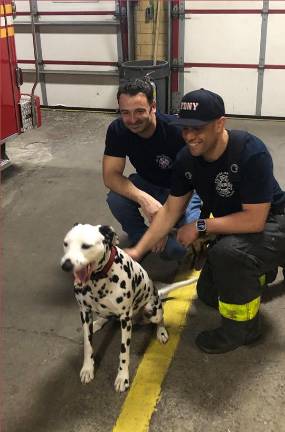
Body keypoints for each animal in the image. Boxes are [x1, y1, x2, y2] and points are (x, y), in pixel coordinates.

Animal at [60, 224, 196, 394]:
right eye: (66, 244)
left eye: (86, 246)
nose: (65, 265)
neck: (98, 279)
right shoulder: (84, 313)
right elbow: (87, 345)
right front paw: (87, 368)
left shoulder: (125, 319)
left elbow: (124, 353)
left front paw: (122, 378)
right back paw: (99, 322)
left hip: (153, 310)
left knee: (160, 318)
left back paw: (161, 332)